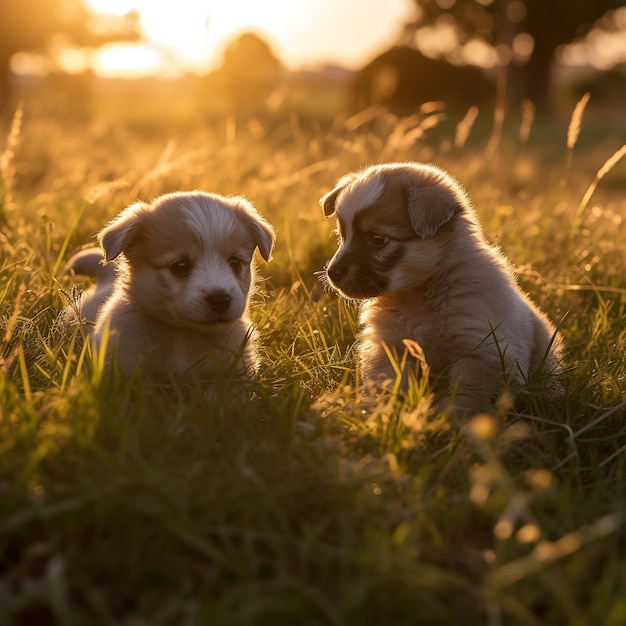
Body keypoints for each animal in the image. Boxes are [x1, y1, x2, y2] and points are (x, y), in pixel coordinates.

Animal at [322, 163, 560, 412]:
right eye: (343, 234)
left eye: (377, 239)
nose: (332, 273)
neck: (420, 294)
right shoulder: (391, 346)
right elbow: (391, 386)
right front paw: (385, 414)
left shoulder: (478, 351)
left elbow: (461, 400)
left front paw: (445, 421)